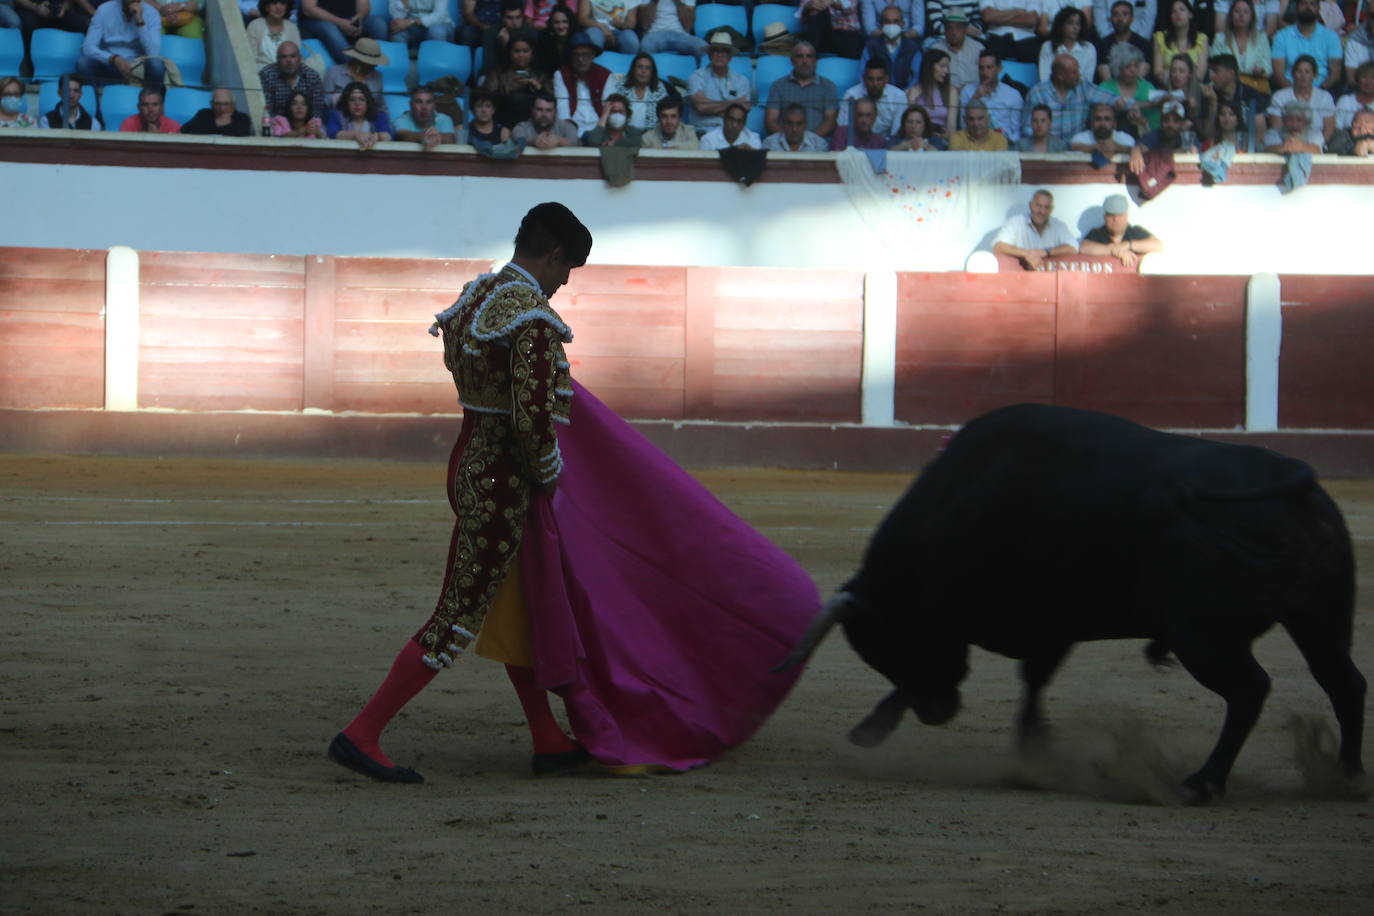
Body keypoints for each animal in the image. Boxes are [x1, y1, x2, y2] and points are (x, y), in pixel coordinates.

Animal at [780, 406, 1368, 802]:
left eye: (891, 644)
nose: (936, 713)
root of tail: (1291, 482)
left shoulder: (1025, 623)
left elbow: (1018, 678)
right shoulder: (1049, 628)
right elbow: (1033, 683)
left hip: (1202, 635)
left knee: (1250, 690)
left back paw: (1202, 782)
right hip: (1318, 618)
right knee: (1343, 681)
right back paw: (1346, 774)